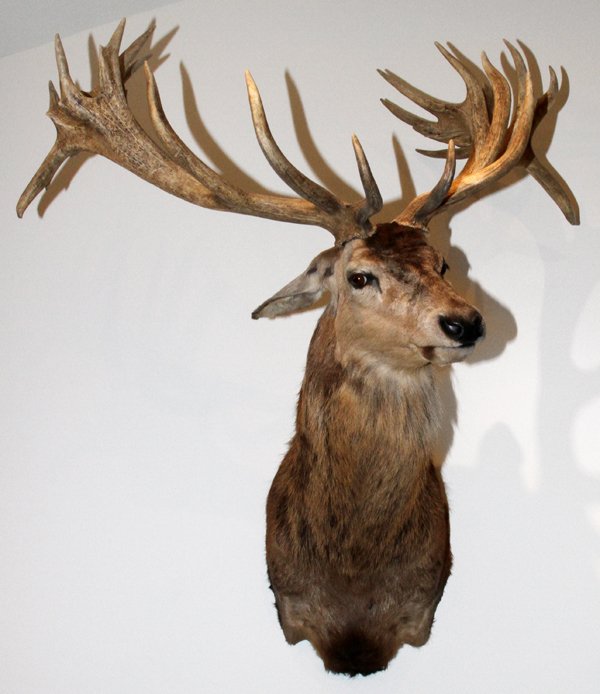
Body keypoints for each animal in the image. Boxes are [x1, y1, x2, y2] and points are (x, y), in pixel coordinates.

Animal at [16, 20, 578, 677]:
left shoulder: (420, 609)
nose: (465, 322)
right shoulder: (293, 606)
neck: (356, 570)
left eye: (442, 263)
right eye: (358, 276)